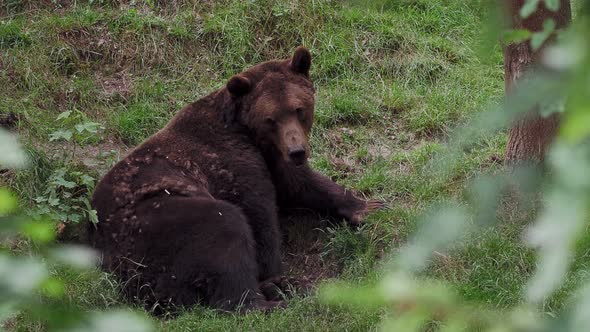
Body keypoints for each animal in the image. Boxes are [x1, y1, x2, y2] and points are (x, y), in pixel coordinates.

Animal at [89, 47, 384, 314]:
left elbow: (300, 184)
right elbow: (260, 214)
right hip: (155, 220)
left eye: (299, 109)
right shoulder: (232, 161)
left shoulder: (272, 157)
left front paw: (367, 207)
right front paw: (274, 276)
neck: (249, 132)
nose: (297, 151)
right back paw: (266, 301)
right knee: (225, 227)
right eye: (271, 118)